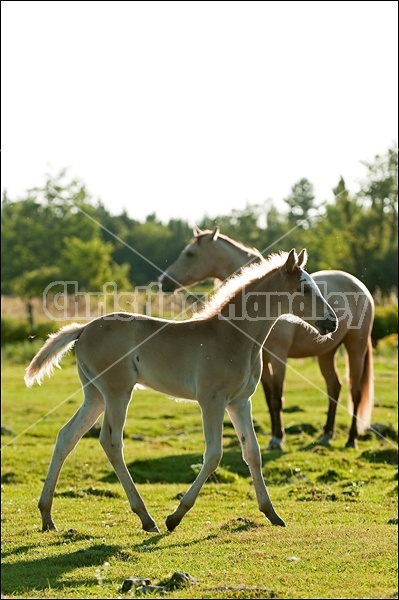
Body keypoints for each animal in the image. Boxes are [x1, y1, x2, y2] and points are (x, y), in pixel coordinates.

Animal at [25, 248, 338, 536]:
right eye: (304, 288)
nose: (332, 322)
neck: (234, 336)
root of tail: (83, 329)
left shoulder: (240, 402)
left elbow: (253, 452)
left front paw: (272, 513)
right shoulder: (211, 401)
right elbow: (213, 455)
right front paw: (175, 517)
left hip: (95, 396)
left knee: (66, 436)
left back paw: (47, 516)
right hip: (117, 392)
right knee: (110, 442)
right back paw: (146, 518)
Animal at [159, 229, 376, 450]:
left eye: (190, 254)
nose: (163, 281)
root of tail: (361, 287)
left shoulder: (279, 356)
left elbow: (277, 397)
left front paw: (278, 438)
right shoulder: (260, 359)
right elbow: (269, 397)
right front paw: (274, 437)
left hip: (356, 347)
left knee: (355, 391)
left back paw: (351, 439)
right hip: (326, 353)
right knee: (334, 388)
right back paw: (326, 435)